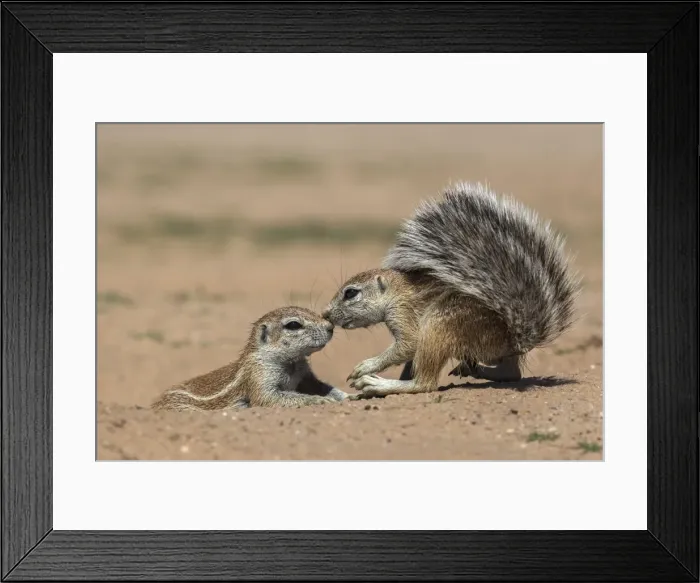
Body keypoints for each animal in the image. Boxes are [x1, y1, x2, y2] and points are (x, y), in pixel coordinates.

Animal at [151, 306, 347, 411]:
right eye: (293, 325)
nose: (330, 327)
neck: (292, 363)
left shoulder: (306, 376)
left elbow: (324, 387)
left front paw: (348, 396)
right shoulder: (258, 376)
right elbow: (270, 398)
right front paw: (318, 400)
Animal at [322, 181, 581, 399]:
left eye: (351, 293)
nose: (326, 314)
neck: (396, 291)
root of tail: (513, 336)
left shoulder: (404, 314)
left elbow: (408, 345)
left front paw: (366, 367)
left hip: (439, 326)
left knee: (425, 384)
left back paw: (379, 385)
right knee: (511, 372)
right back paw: (477, 371)